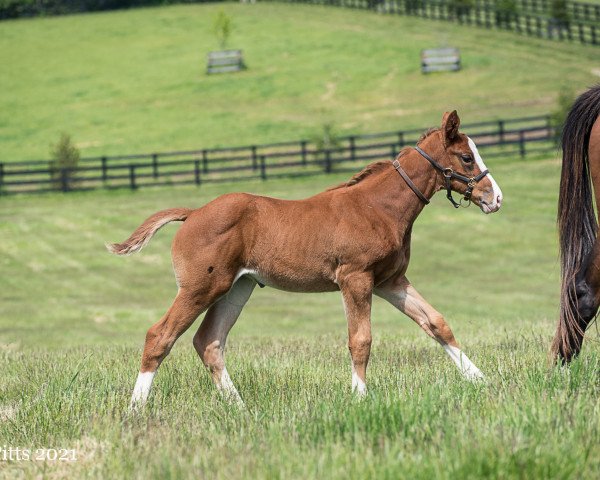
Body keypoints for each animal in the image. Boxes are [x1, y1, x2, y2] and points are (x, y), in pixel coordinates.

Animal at [108, 111, 502, 408]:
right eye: (467, 158)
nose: (494, 198)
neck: (378, 208)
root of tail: (192, 213)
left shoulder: (391, 281)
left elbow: (436, 323)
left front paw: (482, 383)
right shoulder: (355, 279)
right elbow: (360, 339)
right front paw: (360, 398)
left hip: (238, 287)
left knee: (209, 342)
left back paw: (239, 407)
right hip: (200, 287)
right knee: (160, 336)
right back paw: (135, 410)